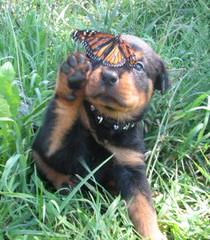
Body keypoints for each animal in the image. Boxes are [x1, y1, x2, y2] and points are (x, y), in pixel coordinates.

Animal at [33, 34, 171, 239]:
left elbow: (144, 207)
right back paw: (65, 182)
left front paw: (153, 234)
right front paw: (71, 79)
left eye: (138, 66)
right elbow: (63, 114)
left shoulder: (131, 164)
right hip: (37, 154)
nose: (108, 75)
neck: (105, 122)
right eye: (98, 58)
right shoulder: (54, 148)